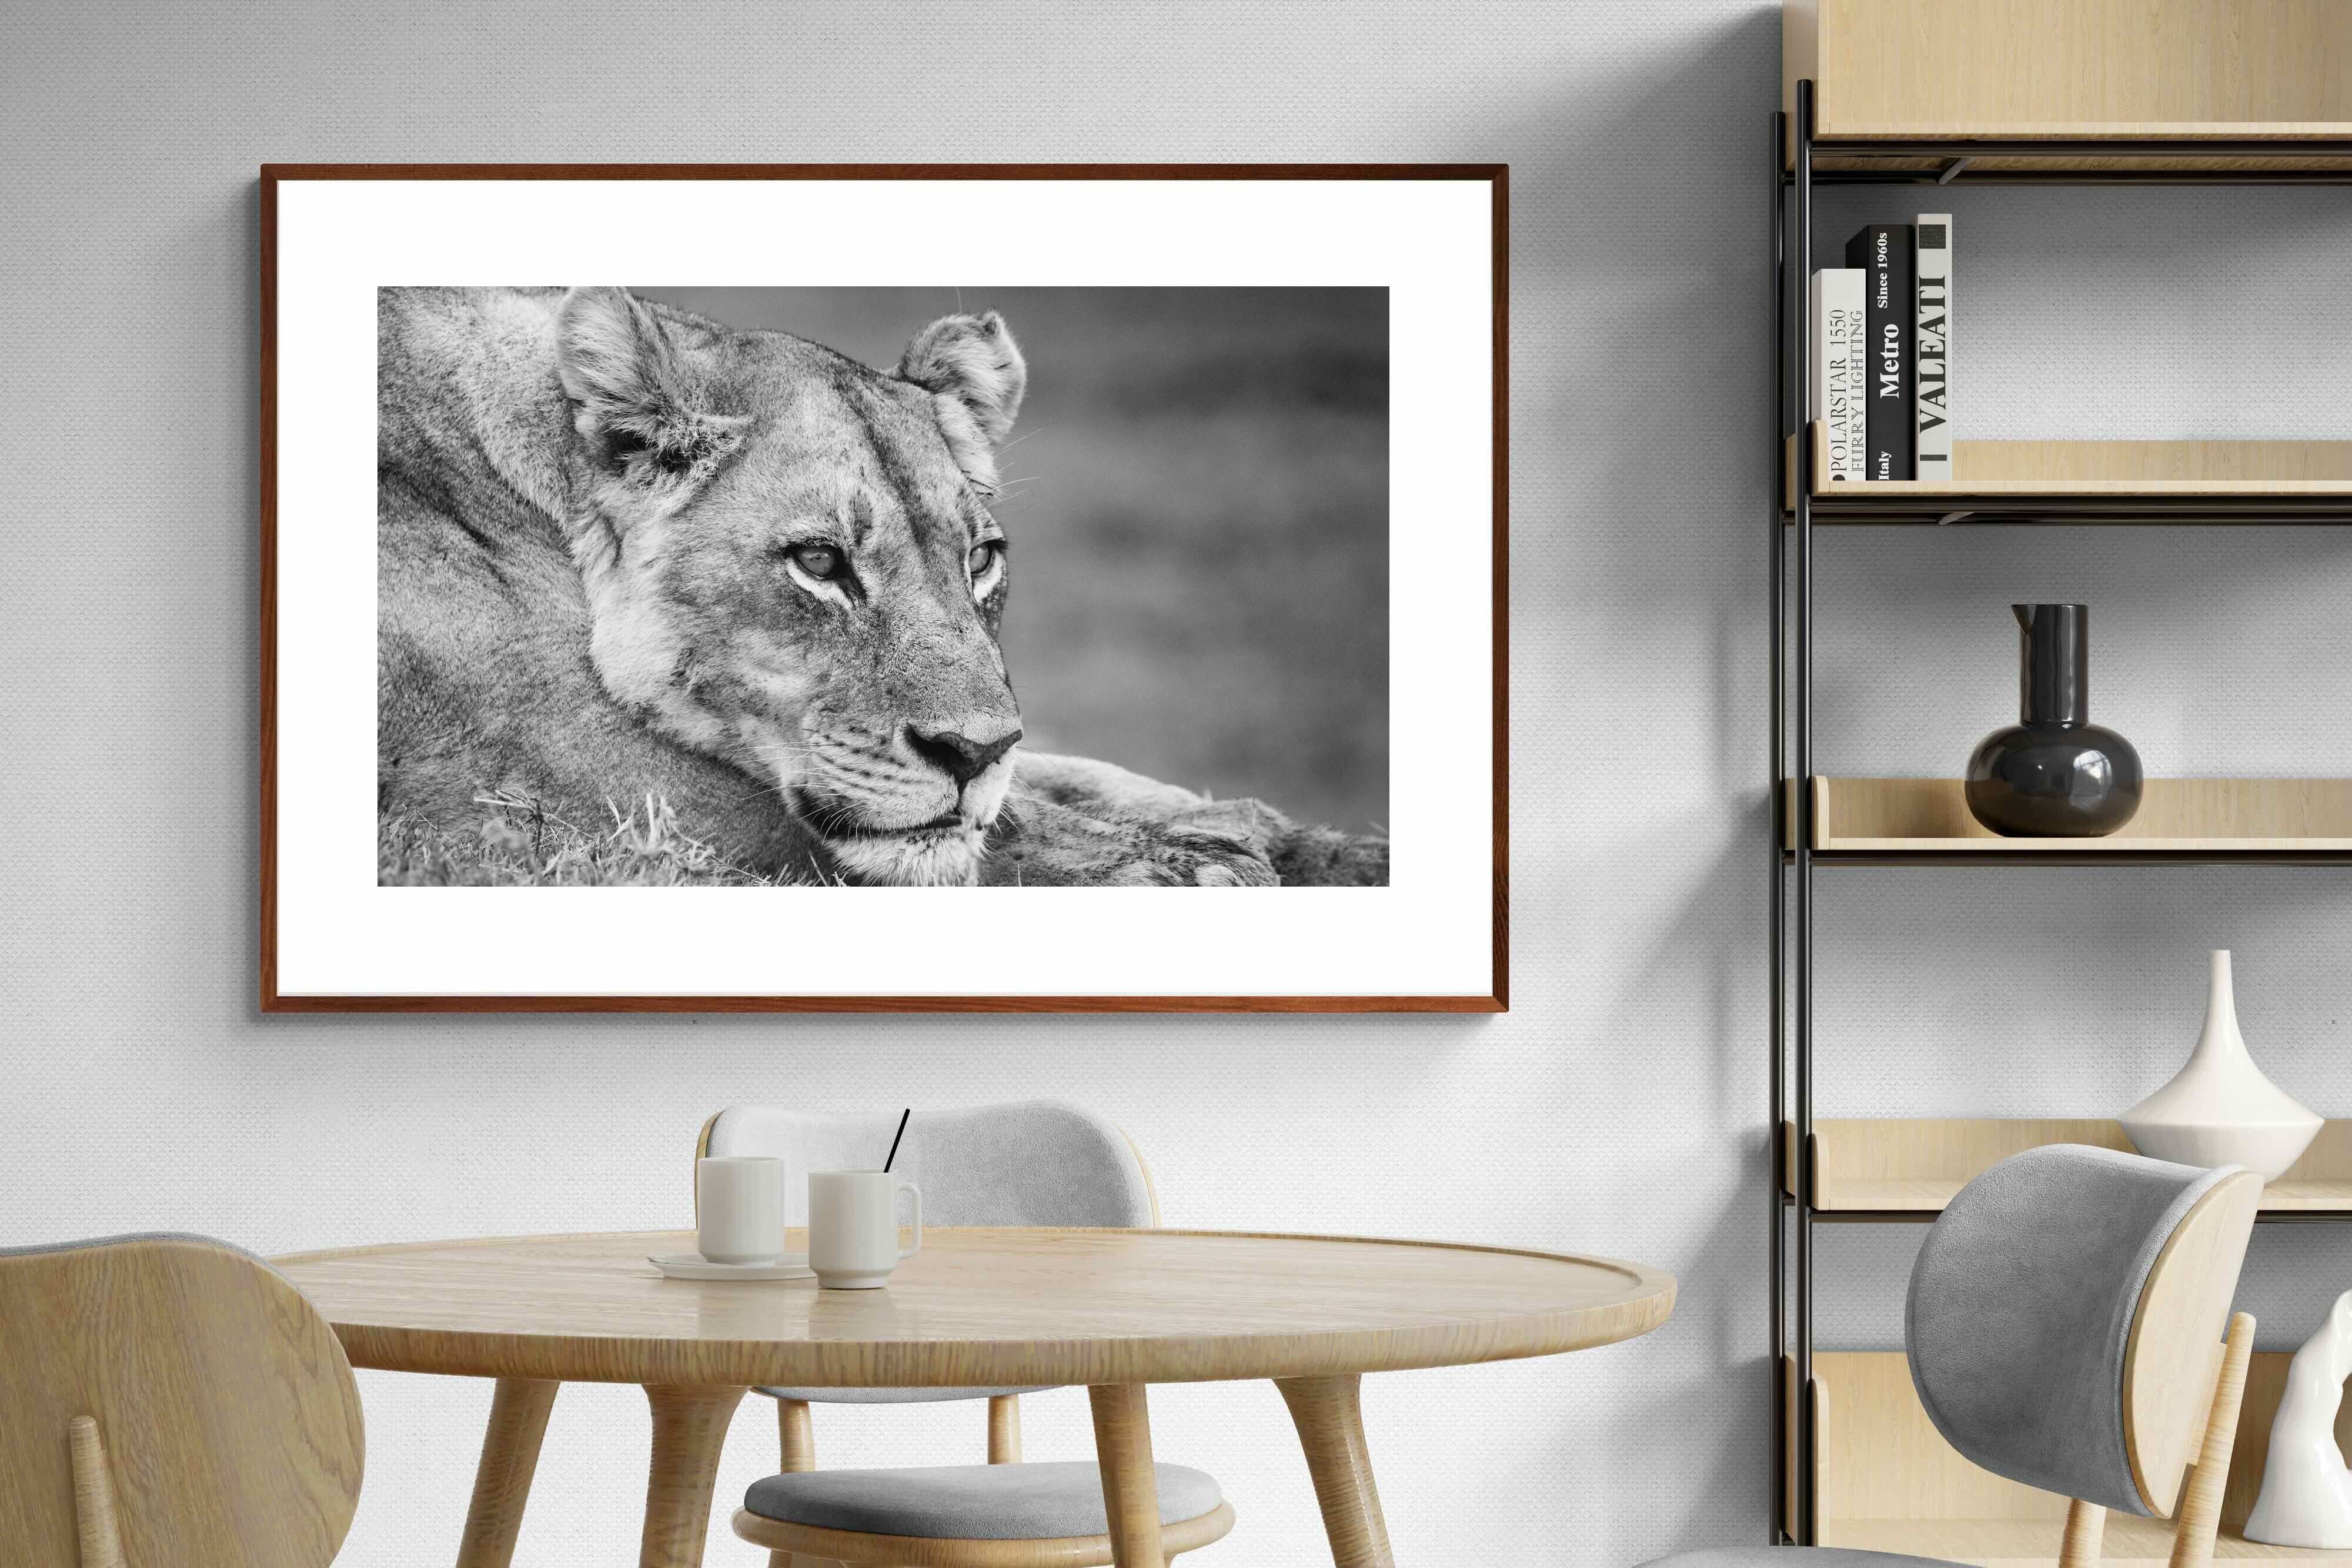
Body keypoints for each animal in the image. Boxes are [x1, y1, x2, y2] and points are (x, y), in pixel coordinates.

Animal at [377, 287, 1388, 887]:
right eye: (821, 562)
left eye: (980, 559)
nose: (971, 754)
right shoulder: (566, 794)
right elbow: (993, 830)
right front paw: (1192, 866)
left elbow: (1070, 775)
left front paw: (1314, 843)